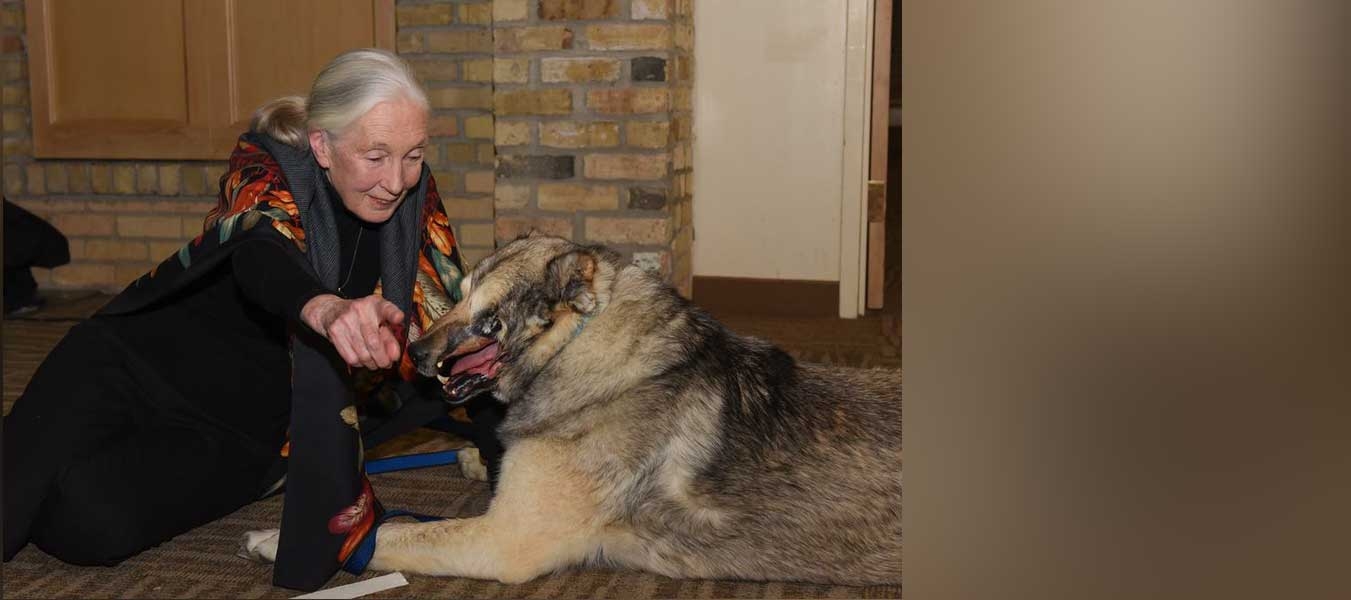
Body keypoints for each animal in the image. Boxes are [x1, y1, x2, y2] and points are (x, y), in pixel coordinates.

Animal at [245, 233, 897, 586]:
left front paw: (278, 541)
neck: (576, 345)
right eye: (457, 296)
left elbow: (395, 532)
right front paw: (475, 458)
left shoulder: (500, 538)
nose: (414, 354)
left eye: (488, 318)